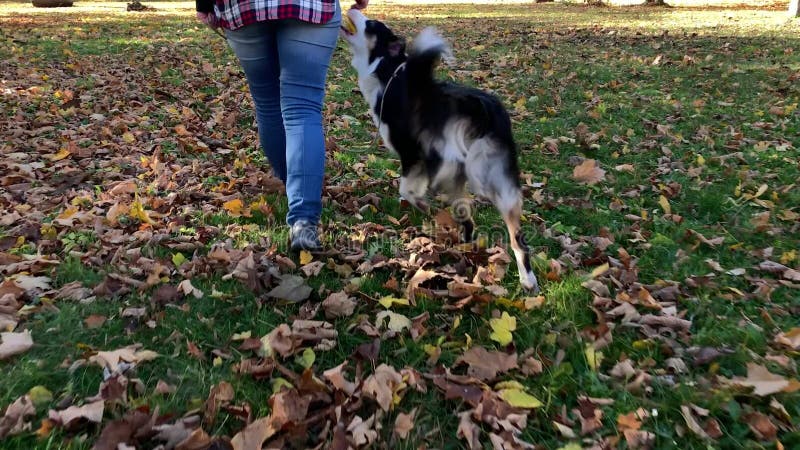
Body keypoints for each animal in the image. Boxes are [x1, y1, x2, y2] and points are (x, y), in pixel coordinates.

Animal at [338, 10, 536, 294]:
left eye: (372, 24)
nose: (353, 8)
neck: (388, 71)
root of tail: (479, 109)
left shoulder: (412, 152)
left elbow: (406, 188)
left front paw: (420, 203)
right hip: (494, 181)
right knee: (510, 235)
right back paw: (522, 276)